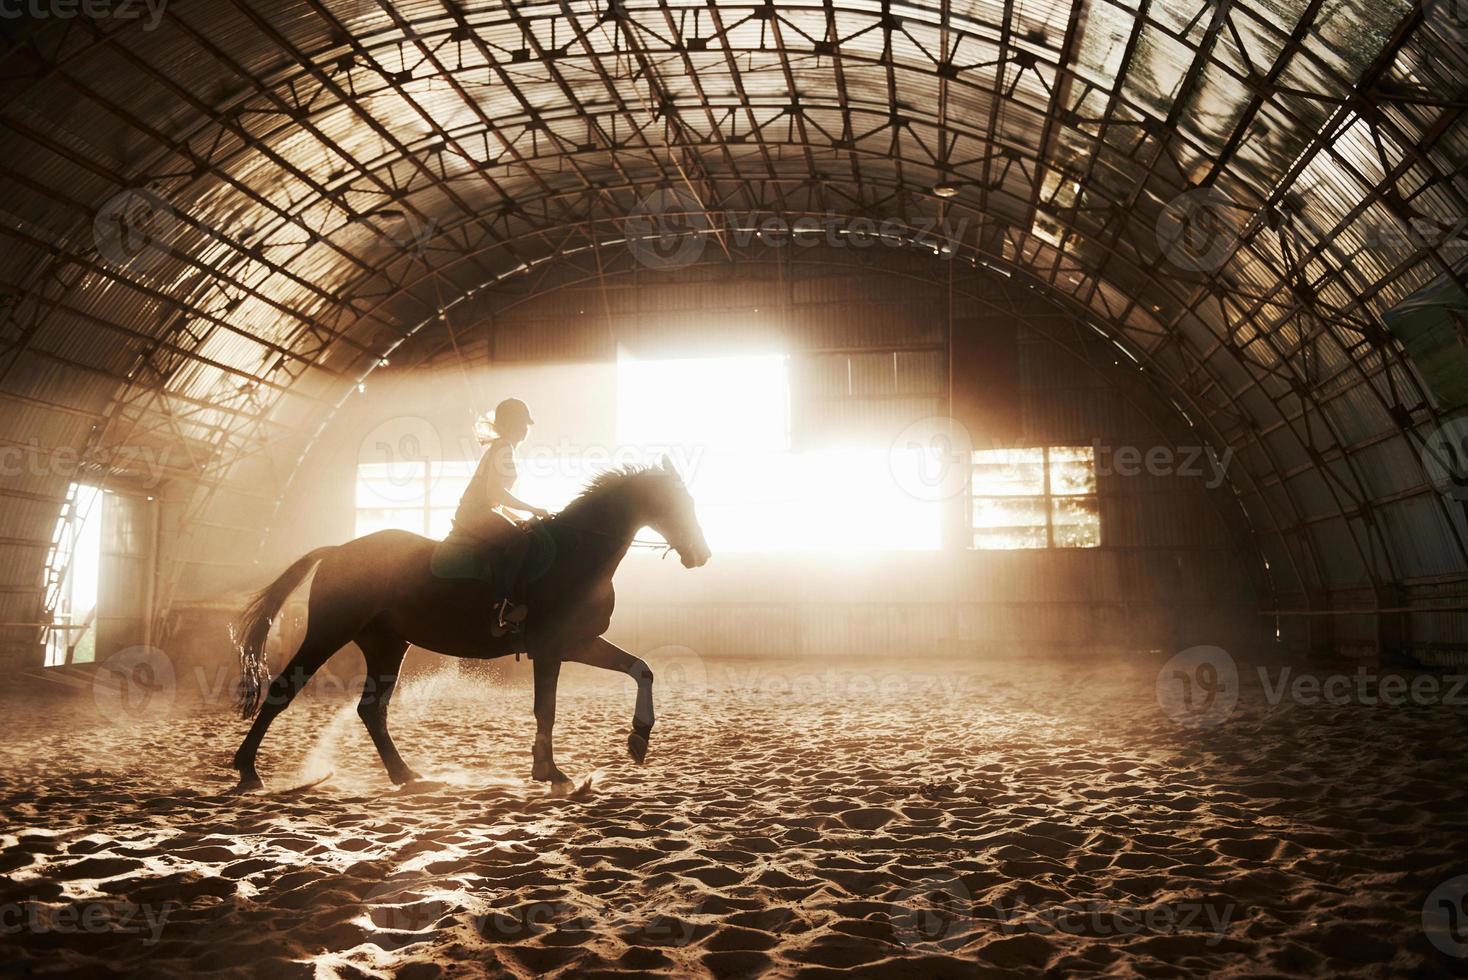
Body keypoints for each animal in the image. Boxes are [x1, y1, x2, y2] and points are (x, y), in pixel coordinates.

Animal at [229, 454, 710, 792]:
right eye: (673, 502)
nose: (701, 556)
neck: (577, 555)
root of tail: (338, 550)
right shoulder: (550, 649)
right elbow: (546, 709)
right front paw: (549, 771)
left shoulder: (578, 642)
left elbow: (642, 670)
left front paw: (639, 738)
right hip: (329, 632)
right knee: (283, 690)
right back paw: (248, 771)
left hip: (387, 644)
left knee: (371, 710)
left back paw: (406, 775)